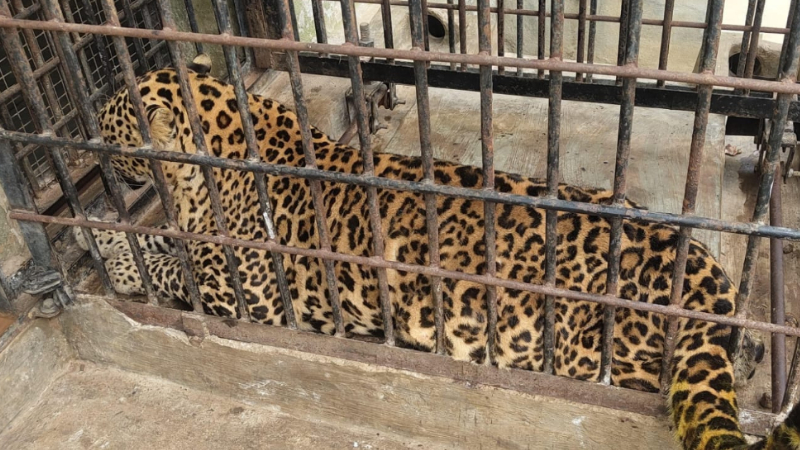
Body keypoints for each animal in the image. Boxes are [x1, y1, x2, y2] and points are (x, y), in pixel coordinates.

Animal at [74, 54, 800, 450]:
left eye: (108, 121)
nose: (86, 148)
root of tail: (704, 278)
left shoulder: (252, 295)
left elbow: (173, 265)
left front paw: (111, 251)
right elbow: (163, 242)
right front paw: (94, 230)